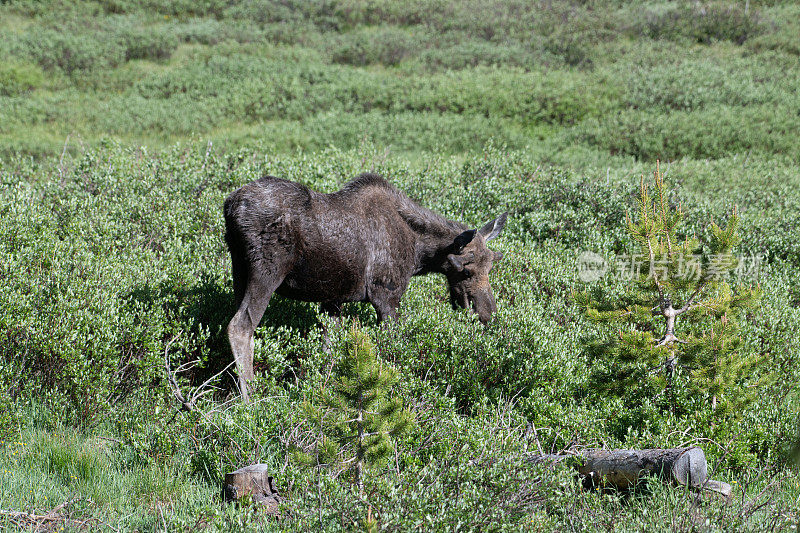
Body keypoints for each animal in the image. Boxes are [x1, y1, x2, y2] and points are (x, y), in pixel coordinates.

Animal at [223, 172, 506, 396]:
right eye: (465, 269)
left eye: (492, 264)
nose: (487, 314)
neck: (420, 253)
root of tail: (231, 206)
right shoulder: (386, 295)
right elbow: (392, 350)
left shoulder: (333, 299)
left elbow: (329, 349)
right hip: (266, 272)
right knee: (240, 326)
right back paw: (251, 397)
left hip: (239, 270)